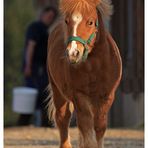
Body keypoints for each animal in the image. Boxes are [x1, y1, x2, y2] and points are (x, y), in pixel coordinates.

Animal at [46, 0, 122, 148]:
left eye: (91, 22)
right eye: (67, 21)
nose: (73, 53)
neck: (94, 67)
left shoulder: (106, 96)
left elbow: (99, 127)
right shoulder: (79, 96)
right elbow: (86, 128)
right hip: (57, 90)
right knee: (63, 118)